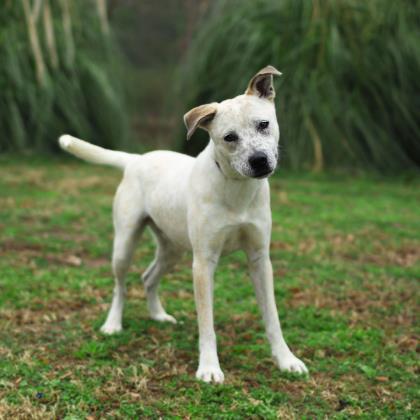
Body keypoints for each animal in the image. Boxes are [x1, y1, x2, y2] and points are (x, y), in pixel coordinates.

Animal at [58, 65, 308, 384]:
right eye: (229, 137)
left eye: (263, 124)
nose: (259, 161)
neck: (236, 189)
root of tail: (136, 159)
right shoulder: (203, 263)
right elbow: (206, 322)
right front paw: (209, 367)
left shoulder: (260, 259)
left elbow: (273, 317)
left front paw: (286, 360)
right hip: (125, 243)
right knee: (120, 285)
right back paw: (113, 324)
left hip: (173, 248)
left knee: (148, 277)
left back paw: (158, 316)